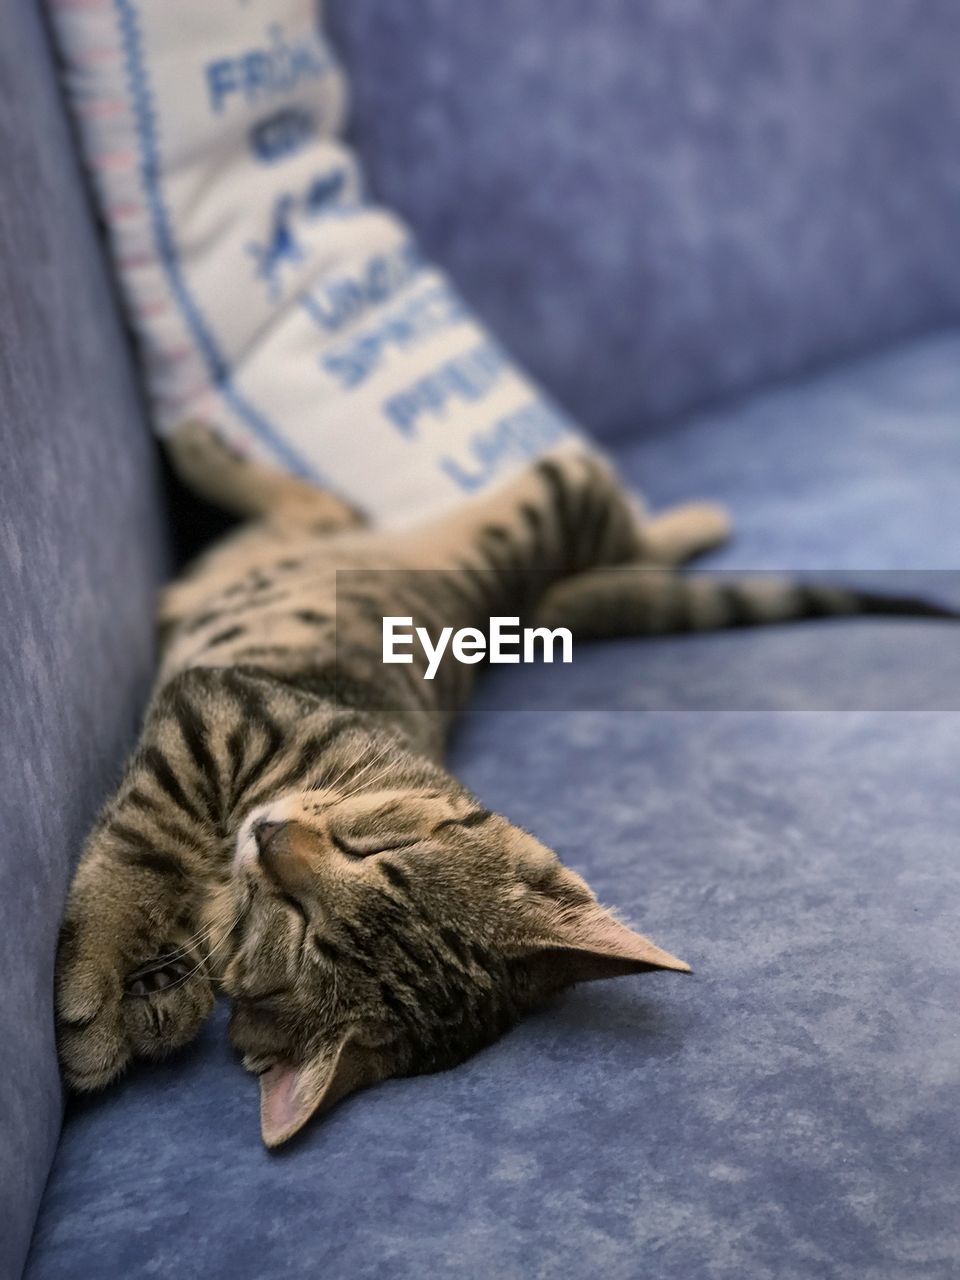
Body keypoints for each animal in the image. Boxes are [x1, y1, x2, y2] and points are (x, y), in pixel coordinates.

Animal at [54, 424, 957, 1146]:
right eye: (380, 846)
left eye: (303, 929)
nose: (272, 839)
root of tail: (523, 614)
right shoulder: (218, 717)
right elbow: (138, 856)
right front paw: (105, 977)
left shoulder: (215, 737)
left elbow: (153, 871)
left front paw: (134, 1004)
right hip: (545, 499)